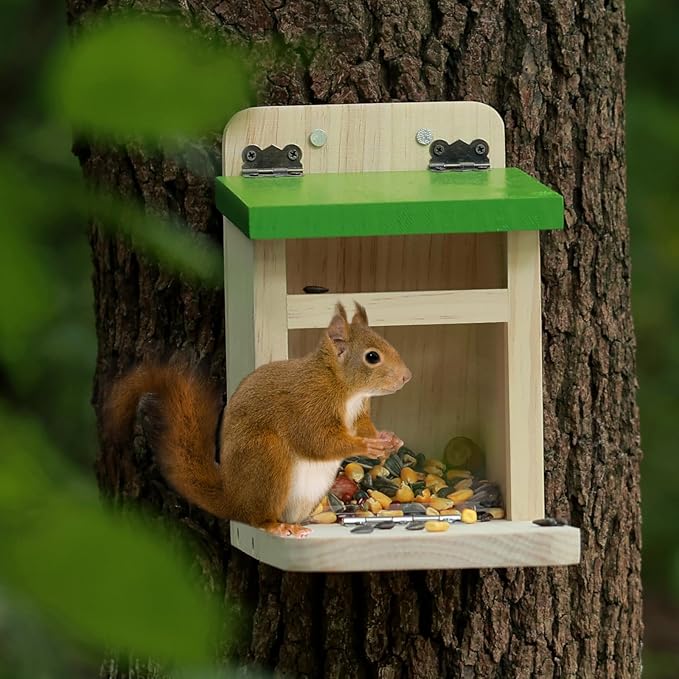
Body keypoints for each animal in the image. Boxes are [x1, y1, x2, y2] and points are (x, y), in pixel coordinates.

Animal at [105, 301, 412, 538]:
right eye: (372, 357)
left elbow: (362, 428)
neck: (346, 390)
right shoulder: (307, 405)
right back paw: (277, 526)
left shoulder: (359, 412)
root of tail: (234, 501)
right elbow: (317, 441)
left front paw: (388, 439)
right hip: (267, 458)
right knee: (258, 517)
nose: (407, 377)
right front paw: (366, 446)